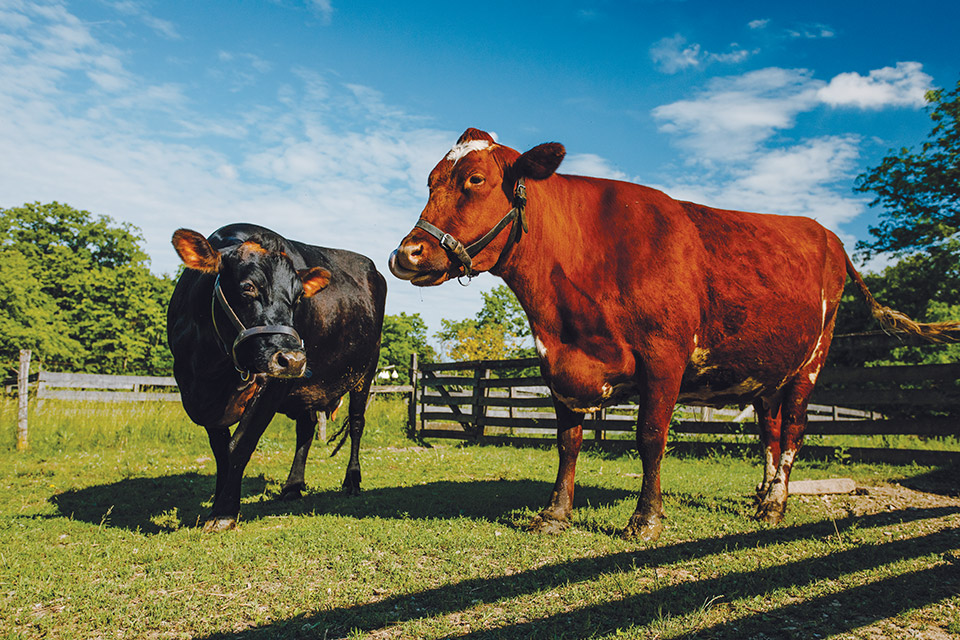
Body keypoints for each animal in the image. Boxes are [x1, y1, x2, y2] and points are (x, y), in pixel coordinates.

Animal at [168, 222, 386, 532]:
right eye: (248, 287)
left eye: (298, 297)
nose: (293, 359)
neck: (211, 369)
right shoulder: (196, 392)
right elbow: (221, 451)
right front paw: (219, 501)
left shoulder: (273, 386)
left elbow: (240, 444)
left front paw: (224, 512)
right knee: (306, 429)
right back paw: (293, 486)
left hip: (364, 372)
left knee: (356, 424)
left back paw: (352, 480)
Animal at [388, 129, 952, 540]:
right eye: (430, 181)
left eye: (476, 179)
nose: (407, 253)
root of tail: (826, 232)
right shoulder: (560, 365)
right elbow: (568, 441)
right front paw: (554, 514)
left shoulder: (664, 359)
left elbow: (650, 437)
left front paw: (645, 520)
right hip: (766, 370)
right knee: (769, 432)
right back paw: (761, 495)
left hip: (811, 359)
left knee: (792, 430)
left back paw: (776, 506)